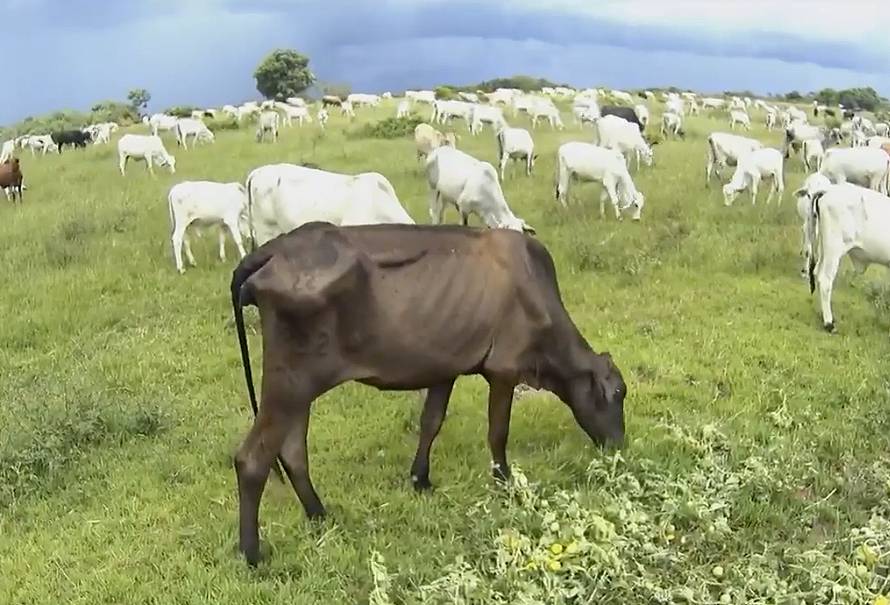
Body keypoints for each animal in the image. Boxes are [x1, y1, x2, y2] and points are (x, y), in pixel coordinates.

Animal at [232, 222, 628, 568]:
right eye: (617, 394)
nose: (619, 448)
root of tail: (276, 247)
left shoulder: (444, 368)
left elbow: (431, 422)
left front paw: (420, 479)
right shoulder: (504, 369)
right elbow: (497, 431)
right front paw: (504, 483)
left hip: (299, 387)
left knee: (292, 450)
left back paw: (319, 514)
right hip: (290, 382)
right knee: (252, 459)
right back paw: (253, 554)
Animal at [800, 182, 888, 330]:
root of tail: (828, 190)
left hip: (824, 248)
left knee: (817, 272)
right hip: (833, 248)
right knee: (825, 279)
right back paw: (829, 323)